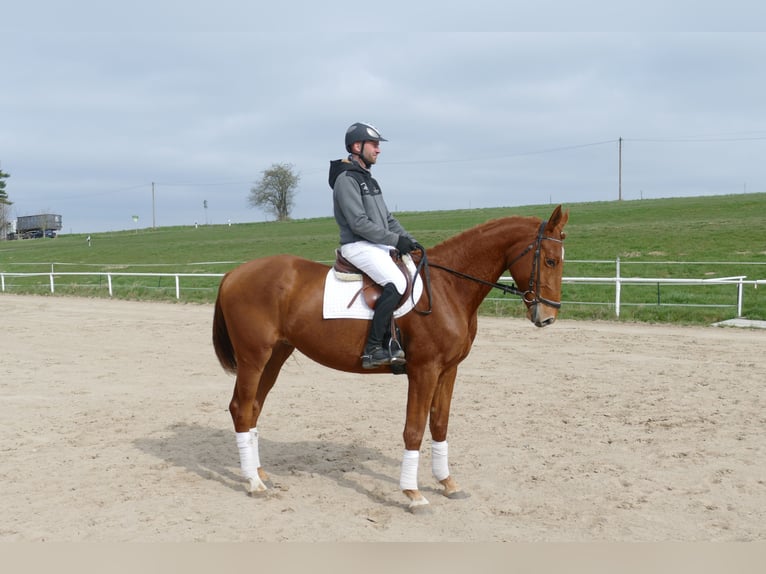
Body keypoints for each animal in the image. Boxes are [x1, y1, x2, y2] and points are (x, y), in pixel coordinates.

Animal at [212, 205, 569, 511]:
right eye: (550, 261)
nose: (548, 317)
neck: (448, 288)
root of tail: (234, 274)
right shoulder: (424, 370)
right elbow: (414, 429)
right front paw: (413, 494)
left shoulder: (448, 370)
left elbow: (439, 424)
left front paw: (448, 483)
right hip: (253, 358)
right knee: (241, 408)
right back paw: (253, 483)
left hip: (275, 356)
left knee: (254, 407)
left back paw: (260, 474)